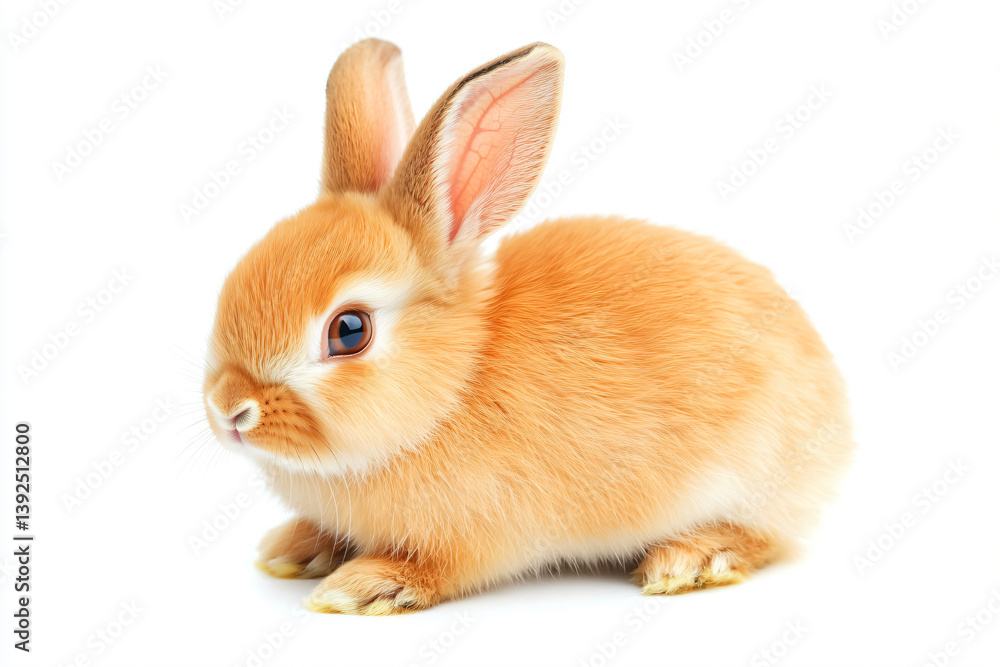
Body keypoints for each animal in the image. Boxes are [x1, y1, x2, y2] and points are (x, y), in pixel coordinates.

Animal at [202, 39, 855, 615]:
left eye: (348, 332)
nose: (230, 409)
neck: (455, 385)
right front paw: (293, 550)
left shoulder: (476, 533)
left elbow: (441, 569)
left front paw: (365, 587)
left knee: (768, 536)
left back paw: (689, 560)